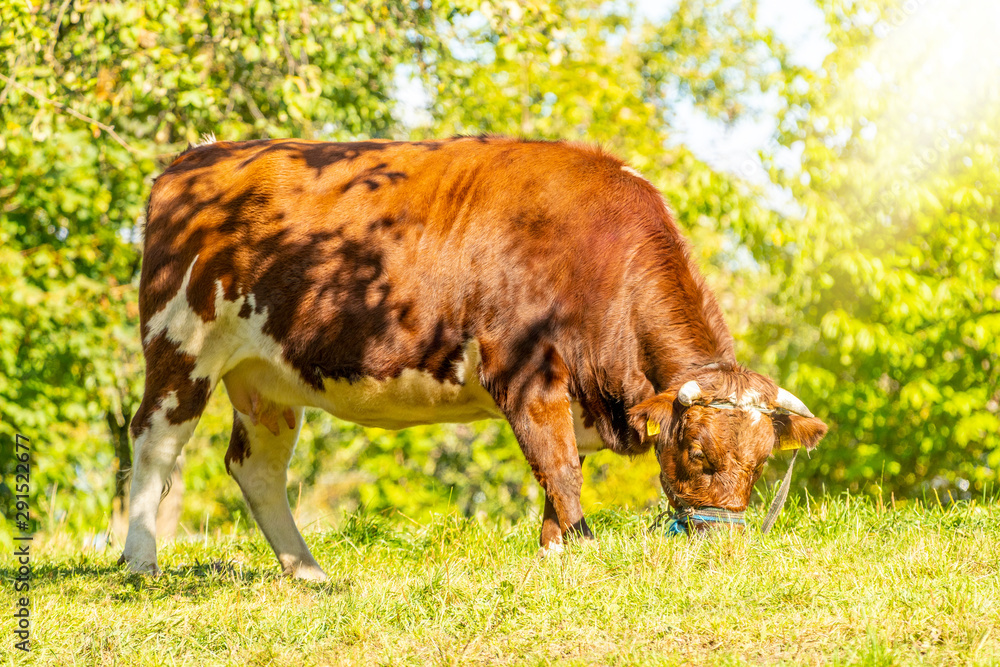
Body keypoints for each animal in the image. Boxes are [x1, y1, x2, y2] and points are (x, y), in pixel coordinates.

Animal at [120, 136, 827, 580]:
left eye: (762, 463)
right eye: (699, 454)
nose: (723, 549)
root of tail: (197, 158)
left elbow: (554, 480)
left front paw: (552, 559)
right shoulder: (524, 371)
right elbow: (559, 469)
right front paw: (583, 554)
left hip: (266, 378)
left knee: (257, 467)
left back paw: (310, 574)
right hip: (180, 341)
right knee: (155, 442)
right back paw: (140, 562)